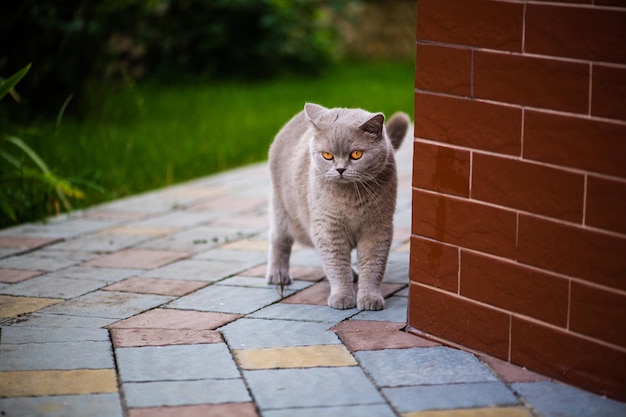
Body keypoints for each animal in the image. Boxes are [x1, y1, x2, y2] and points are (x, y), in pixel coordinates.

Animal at [264, 101, 408, 308]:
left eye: (356, 154)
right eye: (327, 155)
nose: (340, 169)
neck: (351, 197)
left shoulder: (377, 228)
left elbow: (373, 266)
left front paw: (369, 299)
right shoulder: (328, 227)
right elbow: (336, 265)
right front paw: (342, 298)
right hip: (282, 209)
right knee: (278, 240)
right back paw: (278, 275)